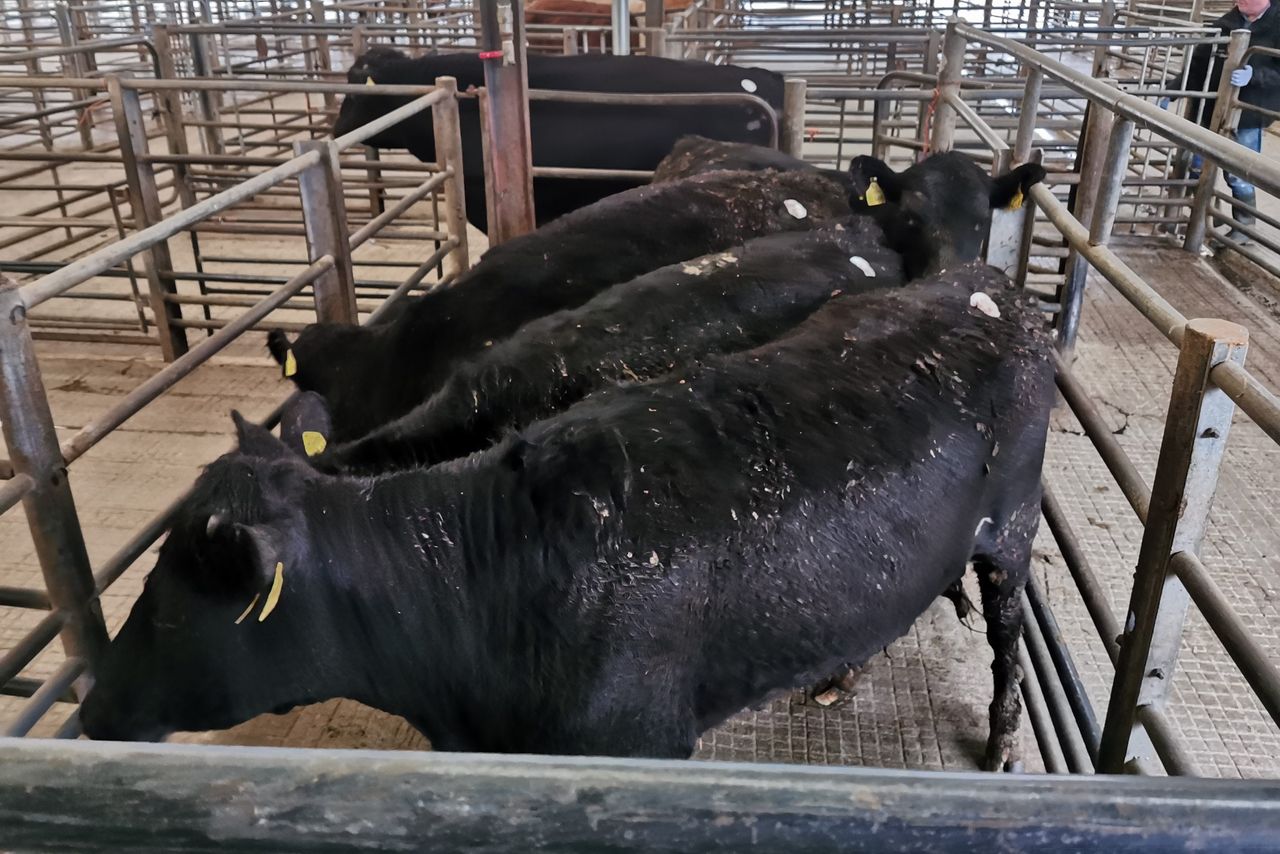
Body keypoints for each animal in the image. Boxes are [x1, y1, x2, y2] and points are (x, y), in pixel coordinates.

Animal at [79, 263, 1054, 773]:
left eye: (168, 608)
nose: (91, 711)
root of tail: (982, 281)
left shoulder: (645, 745)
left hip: (1010, 528)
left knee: (1007, 630)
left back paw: (1004, 738)